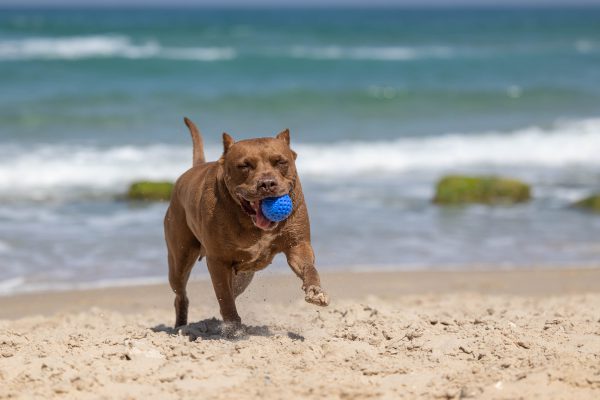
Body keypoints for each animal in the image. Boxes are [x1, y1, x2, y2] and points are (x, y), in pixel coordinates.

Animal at [164, 118, 328, 334]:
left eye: (281, 162)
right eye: (244, 165)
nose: (267, 183)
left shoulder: (298, 245)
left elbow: (309, 267)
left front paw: (315, 290)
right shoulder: (218, 261)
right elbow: (224, 296)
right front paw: (233, 326)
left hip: (244, 274)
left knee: (233, 289)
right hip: (180, 259)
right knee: (181, 292)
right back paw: (182, 325)